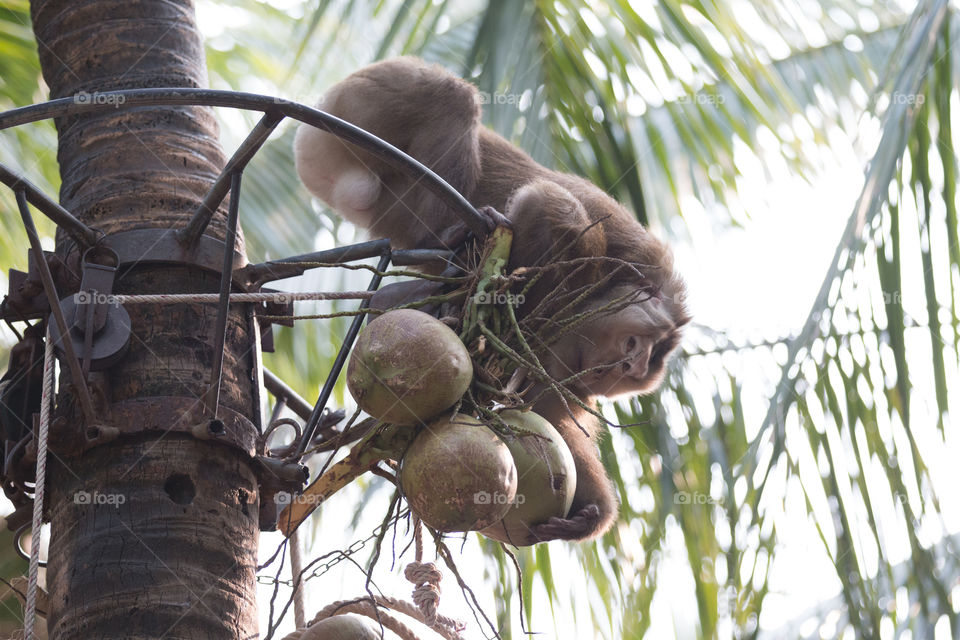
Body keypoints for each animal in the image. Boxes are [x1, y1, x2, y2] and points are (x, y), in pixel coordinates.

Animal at [294, 57, 688, 544]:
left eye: (637, 367)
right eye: (639, 346)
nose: (634, 364)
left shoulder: (566, 369)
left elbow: (550, 411)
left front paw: (590, 514)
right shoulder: (631, 256)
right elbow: (551, 211)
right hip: (363, 103)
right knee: (452, 101)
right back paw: (447, 253)